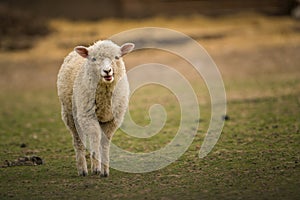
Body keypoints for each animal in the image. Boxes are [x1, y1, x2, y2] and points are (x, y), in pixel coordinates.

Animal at [56, 39, 134, 177]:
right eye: (94, 59)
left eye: (117, 57)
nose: (107, 71)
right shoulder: (87, 115)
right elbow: (95, 137)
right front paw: (97, 167)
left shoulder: (112, 120)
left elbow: (104, 143)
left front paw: (104, 170)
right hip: (70, 114)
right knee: (79, 141)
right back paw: (82, 170)